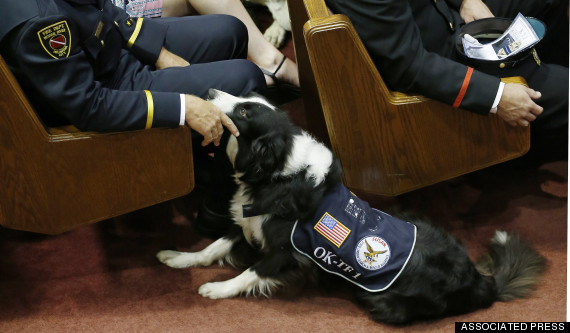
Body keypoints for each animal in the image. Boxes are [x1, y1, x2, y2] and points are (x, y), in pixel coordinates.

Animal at [154, 89, 540, 322]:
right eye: (247, 99)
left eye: (246, 110)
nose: (208, 93)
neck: (277, 173)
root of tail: (480, 281)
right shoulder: (248, 224)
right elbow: (212, 248)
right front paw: (177, 257)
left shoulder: (285, 252)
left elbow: (251, 272)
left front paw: (217, 289)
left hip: (382, 301)